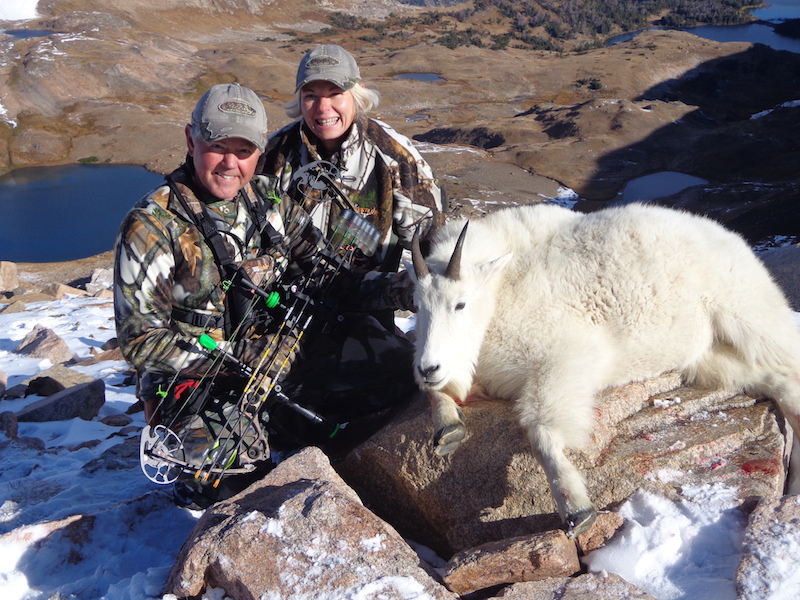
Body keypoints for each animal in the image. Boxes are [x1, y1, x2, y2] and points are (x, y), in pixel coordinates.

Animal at [409, 202, 800, 537]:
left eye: (460, 304)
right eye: (417, 306)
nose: (428, 366)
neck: (501, 292)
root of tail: (730, 238)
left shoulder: (564, 360)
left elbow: (542, 432)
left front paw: (576, 509)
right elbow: (439, 396)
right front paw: (448, 430)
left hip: (749, 315)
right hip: (709, 357)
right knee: (779, 383)